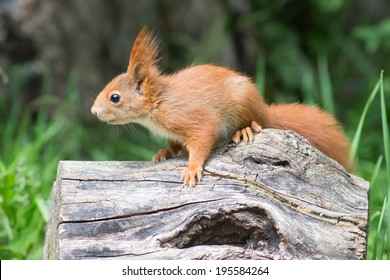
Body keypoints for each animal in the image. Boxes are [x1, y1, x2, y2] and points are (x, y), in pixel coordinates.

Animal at [90, 27, 350, 187]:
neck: (159, 103)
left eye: (115, 97)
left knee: (257, 122)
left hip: (244, 103)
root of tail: (263, 107)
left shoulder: (192, 118)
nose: (93, 111)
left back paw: (244, 130)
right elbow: (174, 144)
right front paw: (166, 152)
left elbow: (202, 137)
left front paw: (192, 166)